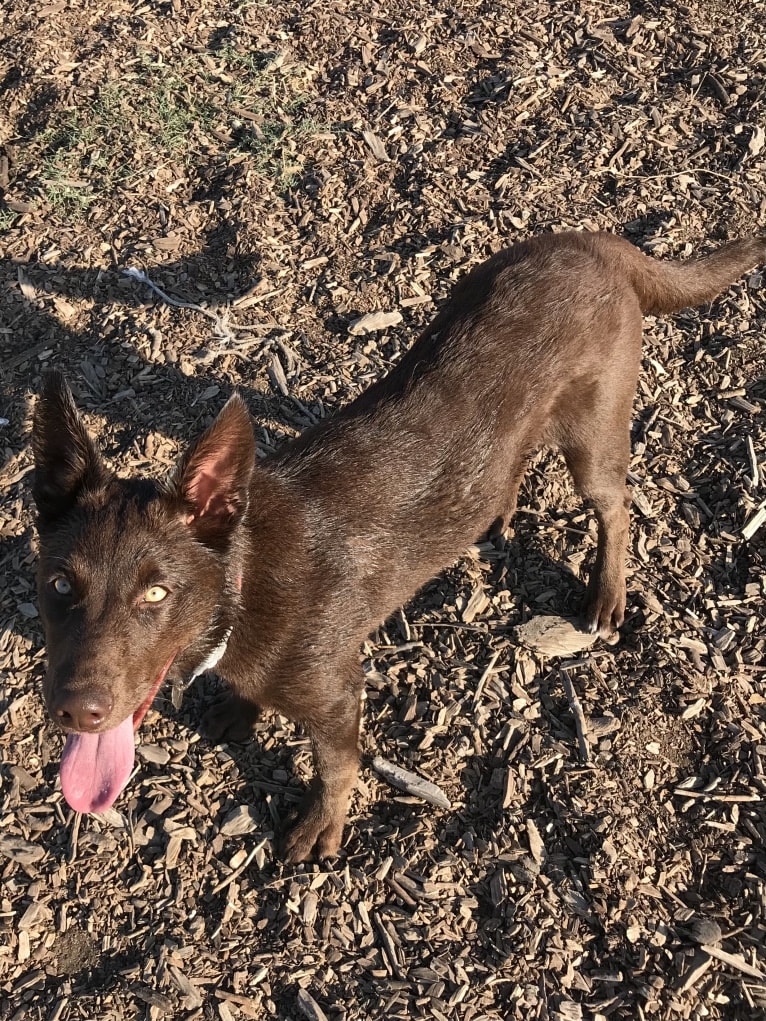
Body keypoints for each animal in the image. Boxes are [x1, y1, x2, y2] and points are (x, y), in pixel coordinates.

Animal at [31, 229, 766, 853]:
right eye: (60, 583)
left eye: (157, 593)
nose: (75, 711)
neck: (242, 583)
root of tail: (592, 240)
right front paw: (242, 710)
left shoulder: (337, 695)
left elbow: (337, 766)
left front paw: (320, 827)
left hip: (594, 431)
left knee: (617, 506)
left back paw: (607, 592)